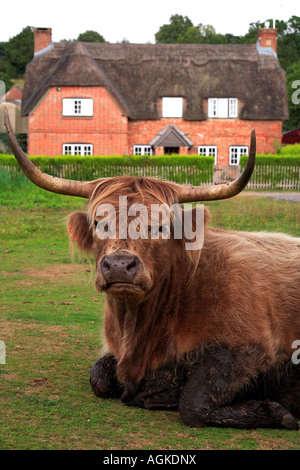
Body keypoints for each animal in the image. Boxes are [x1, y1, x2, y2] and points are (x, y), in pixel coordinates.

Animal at [4, 109, 300, 430]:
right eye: (98, 223)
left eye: (160, 226)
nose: (119, 265)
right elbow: (99, 377)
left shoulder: (251, 347)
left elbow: (194, 402)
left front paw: (279, 412)